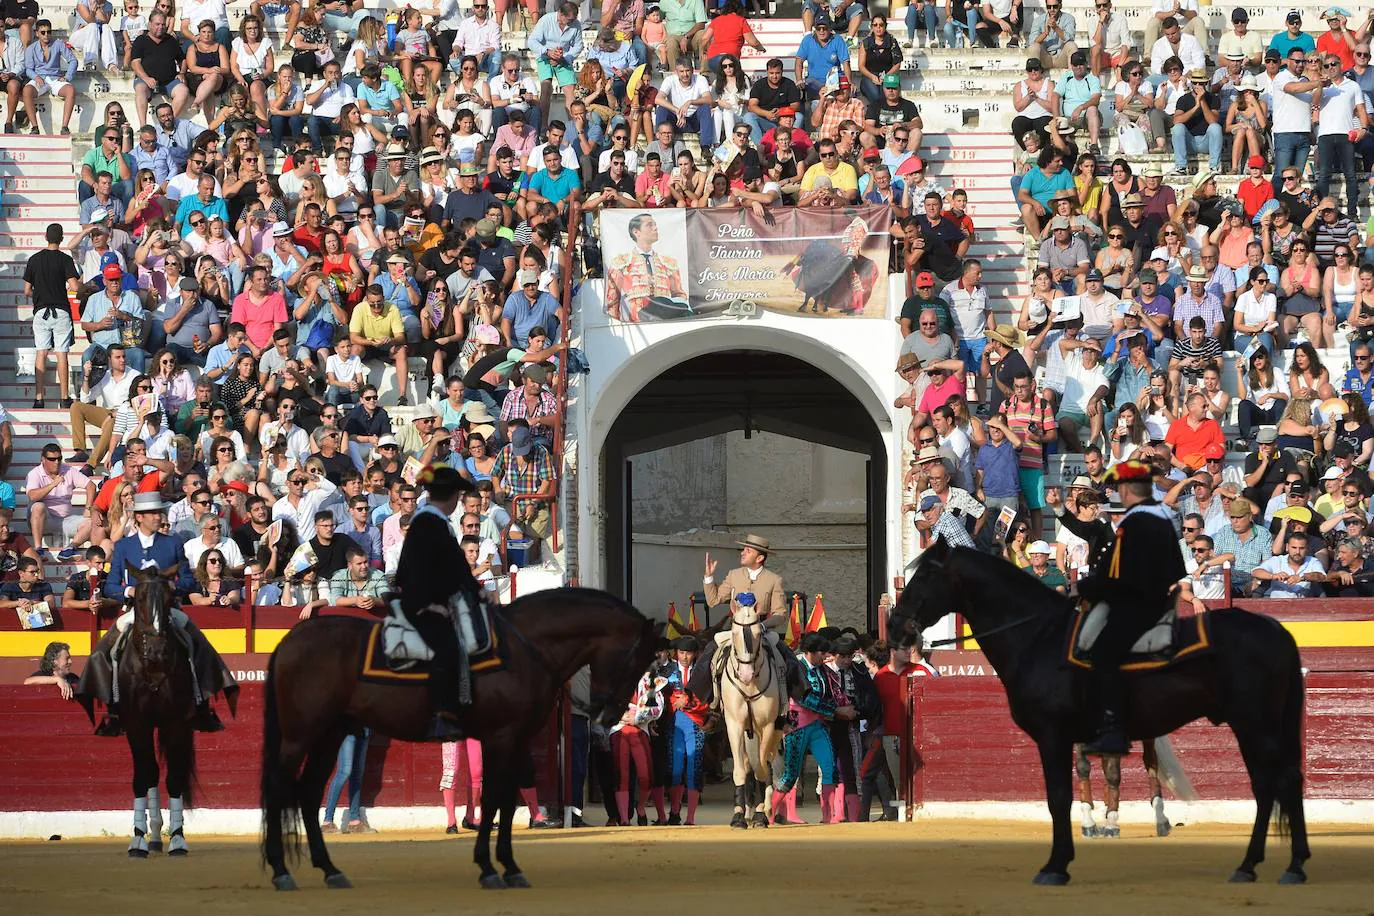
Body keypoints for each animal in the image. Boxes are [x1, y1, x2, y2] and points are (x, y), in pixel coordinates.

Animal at [262, 590, 665, 889]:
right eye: (636, 660)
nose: (610, 716)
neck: (524, 649)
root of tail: (291, 640)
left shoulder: (516, 739)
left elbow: (505, 801)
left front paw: (509, 867)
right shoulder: (500, 736)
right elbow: (492, 799)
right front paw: (490, 868)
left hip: (329, 734)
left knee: (309, 793)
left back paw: (330, 870)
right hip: (299, 735)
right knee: (280, 789)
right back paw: (281, 871)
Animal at [719, 596, 785, 829]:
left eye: (758, 633)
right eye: (735, 633)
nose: (746, 674)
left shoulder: (767, 726)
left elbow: (762, 769)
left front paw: (760, 815)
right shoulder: (734, 725)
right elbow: (741, 769)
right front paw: (739, 816)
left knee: (770, 764)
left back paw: (768, 809)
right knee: (750, 765)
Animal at [890, 541, 1308, 884]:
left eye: (925, 575)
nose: (895, 628)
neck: (1039, 637)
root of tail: (1276, 629)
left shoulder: (1053, 735)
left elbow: (1058, 797)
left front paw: (1055, 866)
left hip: (1256, 725)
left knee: (1279, 782)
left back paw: (1282, 866)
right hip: (1255, 726)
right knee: (1273, 784)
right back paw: (1262, 865)